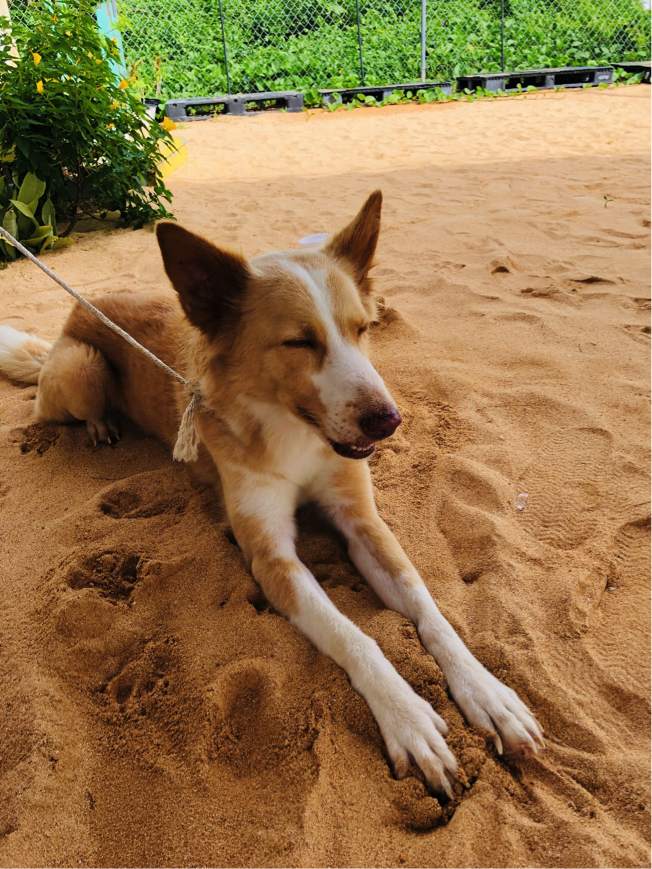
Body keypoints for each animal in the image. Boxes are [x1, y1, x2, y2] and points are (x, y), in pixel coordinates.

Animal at [0, 193, 544, 796]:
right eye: (299, 342)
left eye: (363, 328)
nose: (389, 421)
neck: (297, 436)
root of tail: (79, 310)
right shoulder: (272, 556)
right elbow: (355, 636)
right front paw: (407, 717)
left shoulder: (363, 521)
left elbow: (428, 607)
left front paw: (487, 693)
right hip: (82, 370)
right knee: (64, 404)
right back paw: (98, 426)